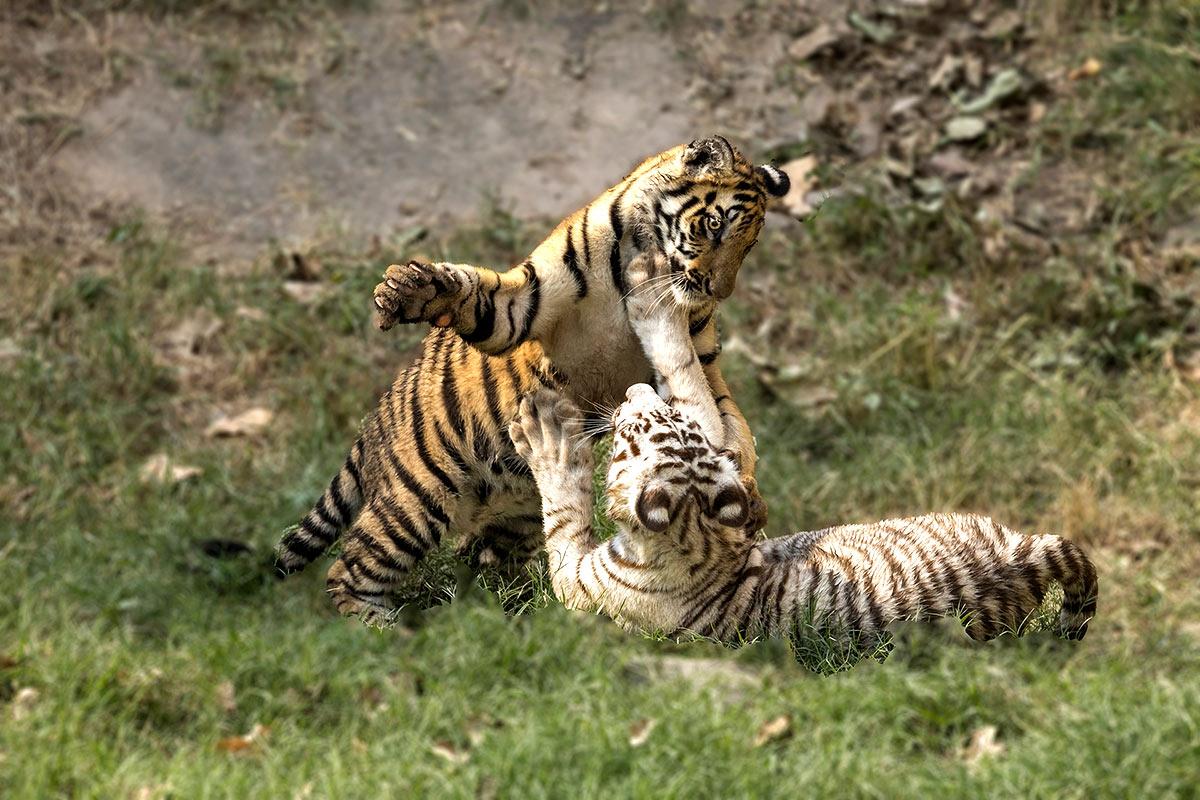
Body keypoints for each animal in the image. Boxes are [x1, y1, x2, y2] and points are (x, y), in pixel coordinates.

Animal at [273, 136, 791, 624]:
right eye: (715, 225)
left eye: (748, 245)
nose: (717, 290)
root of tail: (375, 421)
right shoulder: (526, 301)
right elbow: (477, 295)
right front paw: (413, 291)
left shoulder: (703, 355)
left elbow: (727, 418)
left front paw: (746, 494)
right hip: (415, 500)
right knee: (348, 571)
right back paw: (382, 630)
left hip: (511, 518)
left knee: (480, 563)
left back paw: (510, 613)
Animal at [508, 307, 1100, 651]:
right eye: (664, 421)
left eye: (637, 429)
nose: (633, 391)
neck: (699, 537)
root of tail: (1020, 557)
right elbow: (691, 380)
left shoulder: (579, 581)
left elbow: (564, 509)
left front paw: (544, 430)